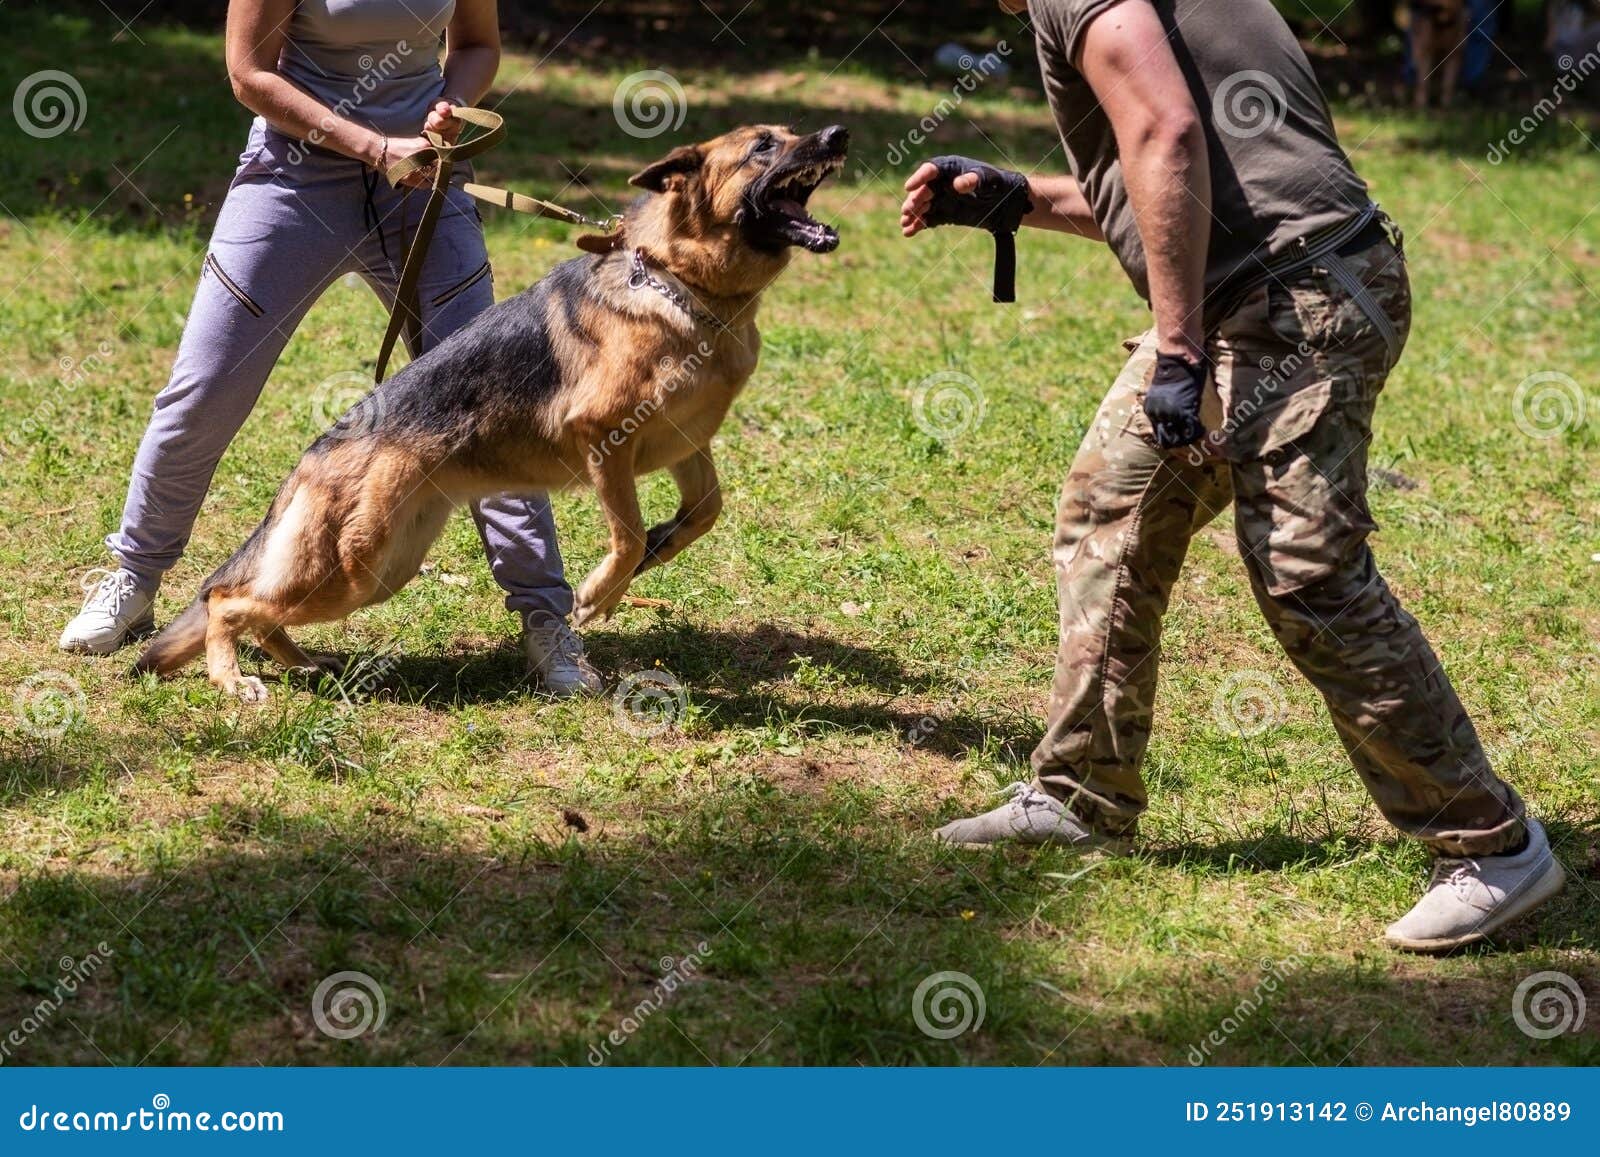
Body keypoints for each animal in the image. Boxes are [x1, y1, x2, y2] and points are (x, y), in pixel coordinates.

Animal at [134, 128, 851, 707]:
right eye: (764, 145)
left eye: (791, 132)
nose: (838, 134)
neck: (682, 282)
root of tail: (313, 454)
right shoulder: (604, 439)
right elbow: (624, 534)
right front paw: (598, 594)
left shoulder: (685, 444)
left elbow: (703, 512)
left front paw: (658, 549)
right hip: (351, 572)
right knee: (225, 601)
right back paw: (232, 679)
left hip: (383, 568)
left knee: (259, 610)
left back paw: (305, 662)